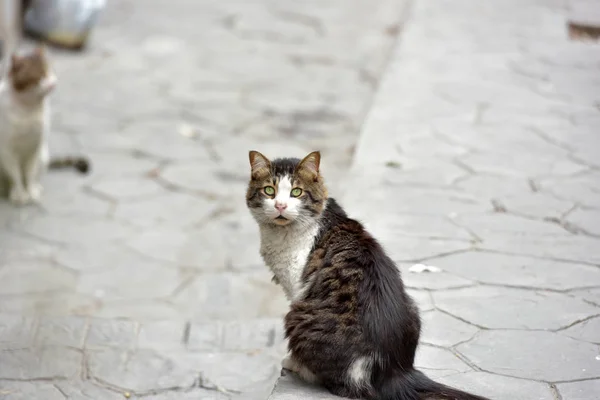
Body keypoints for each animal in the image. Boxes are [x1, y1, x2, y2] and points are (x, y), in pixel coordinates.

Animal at [0, 45, 89, 205]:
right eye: (40, 76)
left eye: (50, 70)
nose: (53, 83)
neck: (28, 110)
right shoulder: (7, 150)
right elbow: (15, 175)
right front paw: (20, 193)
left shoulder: (35, 146)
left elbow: (30, 174)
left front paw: (31, 191)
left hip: (42, 155)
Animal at [246, 150, 490, 400]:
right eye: (269, 191)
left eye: (296, 192)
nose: (280, 205)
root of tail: (394, 371)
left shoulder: (297, 287)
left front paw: (292, 360)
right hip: (413, 305)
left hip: (296, 315)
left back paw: (296, 365)